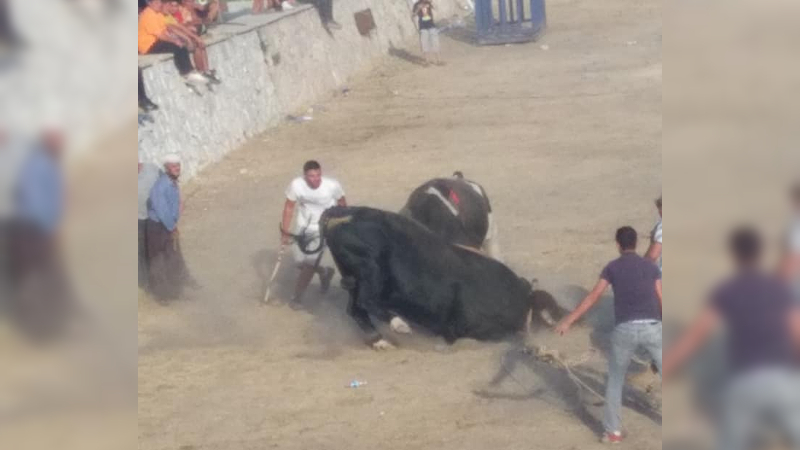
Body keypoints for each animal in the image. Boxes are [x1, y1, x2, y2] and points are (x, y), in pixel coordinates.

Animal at [291, 206, 565, 350]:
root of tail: (342, 213)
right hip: (371, 270)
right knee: (367, 302)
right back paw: (399, 325)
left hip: (354, 276)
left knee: (356, 308)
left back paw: (379, 340)